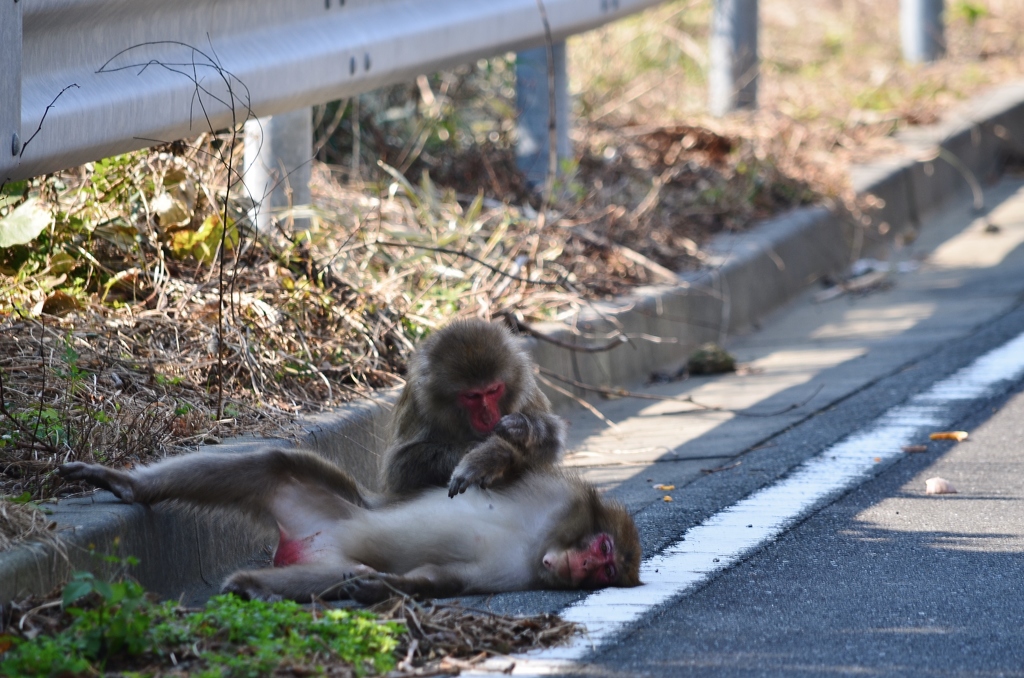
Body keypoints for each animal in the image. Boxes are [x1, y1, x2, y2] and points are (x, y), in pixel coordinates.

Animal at [58, 450, 638, 606]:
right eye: (604, 552)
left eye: (604, 575)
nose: (585, 567)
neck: (540, 543)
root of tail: (304, 543)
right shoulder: (560, 499)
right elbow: (516, 463)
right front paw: (480, 465)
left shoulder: (512, 576)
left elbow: (440, 579)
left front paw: (384, 588)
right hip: (321, 502)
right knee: (273, 464)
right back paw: (129, 486)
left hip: (323, 543)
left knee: (340, 568)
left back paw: (253, 585)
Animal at [385, 319, 569, 499]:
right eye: (472, 396)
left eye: (493, 390)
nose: (487, 417)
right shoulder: (418, 401)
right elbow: (399, 468)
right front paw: (493, 454)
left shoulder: (525, 387)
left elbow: (552, 444)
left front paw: (521, 428)